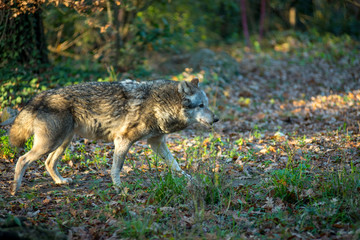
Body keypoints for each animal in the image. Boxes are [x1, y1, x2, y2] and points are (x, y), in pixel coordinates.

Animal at [9, 78, 218, 195]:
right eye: (201, 105)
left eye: (207, 104)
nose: (216, 118)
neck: (162, 104)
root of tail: (39, 96)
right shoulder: (123, 141)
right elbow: (116, 169)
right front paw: (119, 189)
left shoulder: (155, 142)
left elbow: (175, 165)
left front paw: (191, 180)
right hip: (51, 143)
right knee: (22, 159)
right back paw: (14, 189)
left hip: (62, 142)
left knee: (49, 162)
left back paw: (60, 182)